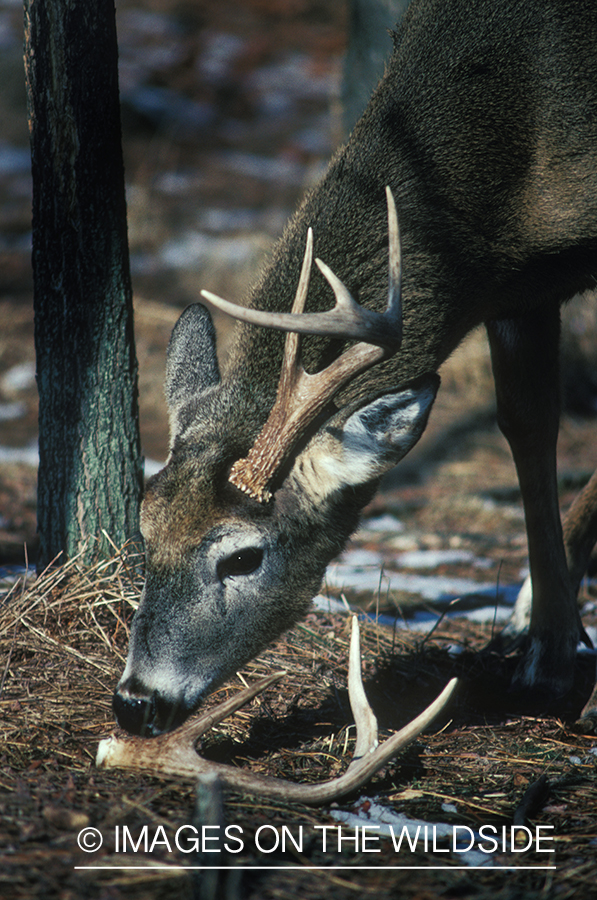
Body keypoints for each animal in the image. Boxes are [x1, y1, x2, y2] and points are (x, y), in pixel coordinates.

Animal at [112, 0, 596, 760]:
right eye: (145, 529)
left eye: (243, 557)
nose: (135, 702)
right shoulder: (518, 290)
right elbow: (526, 423)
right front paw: (545, 649)